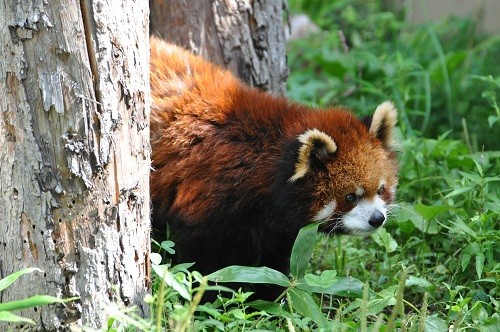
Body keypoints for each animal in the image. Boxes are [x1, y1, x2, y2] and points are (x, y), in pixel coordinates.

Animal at [148, 37, 398, 282]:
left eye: (381, 189)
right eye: (349, 197)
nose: (377, 218)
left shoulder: (278, 228)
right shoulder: (209, 198)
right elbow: (203, 257)